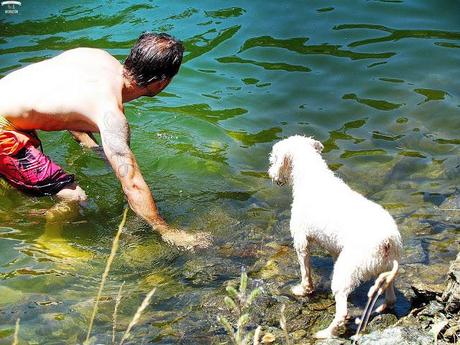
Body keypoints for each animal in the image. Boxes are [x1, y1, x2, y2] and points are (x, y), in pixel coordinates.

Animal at [268, 136, 400, 338]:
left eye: (274, 158)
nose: (270, 173)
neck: (311, 174)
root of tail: (387, 241)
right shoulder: (334, 248)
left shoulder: (301, 240)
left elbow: (305, 271)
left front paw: (303, 290)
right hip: (384, 269)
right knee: (391, 295)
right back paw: (382, 307)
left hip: (347, 271)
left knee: (342, 312)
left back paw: (325, 333)